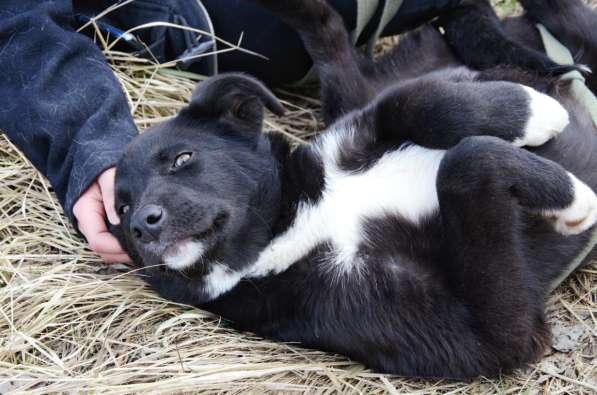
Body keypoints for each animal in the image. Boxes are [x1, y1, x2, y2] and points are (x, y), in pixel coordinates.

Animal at [115, 0, 596, 380]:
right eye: (121, 209)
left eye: (182, 159)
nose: (143, 223)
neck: (291, 225)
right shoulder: (485, 334)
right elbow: (466, 161)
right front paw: (570, 198)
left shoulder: (359, 122)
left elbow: (414, 102)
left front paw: (534, 111)